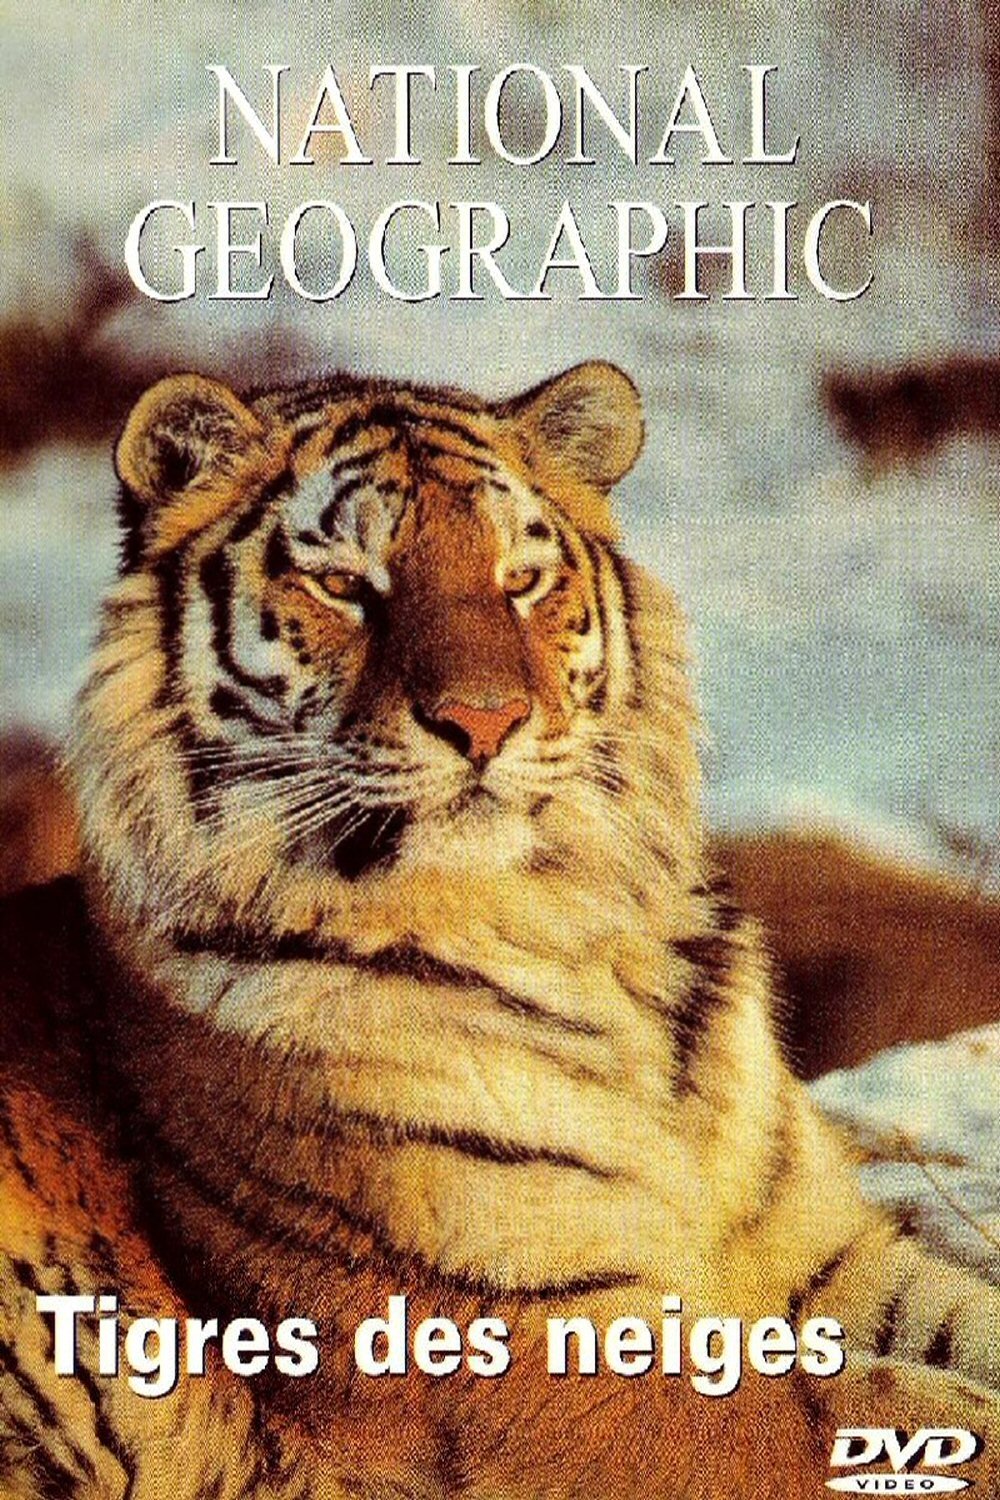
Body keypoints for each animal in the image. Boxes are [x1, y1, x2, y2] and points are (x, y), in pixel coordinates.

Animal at [1, 360, 999, 1499]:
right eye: (345, 585)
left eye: (519, 579)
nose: (483, 721)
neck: (553, 927)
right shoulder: (518, 1342)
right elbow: (889, 1416)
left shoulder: (823, 1255)